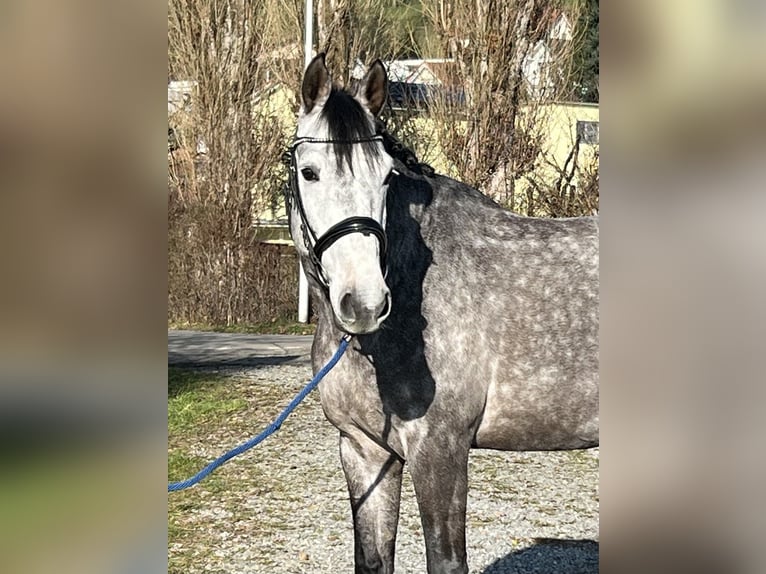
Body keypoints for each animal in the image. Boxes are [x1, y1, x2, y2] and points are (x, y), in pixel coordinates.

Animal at [282, 54, 600, 574]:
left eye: (385, 177)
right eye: (310, 172)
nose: (365, 302)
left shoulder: (439, 450)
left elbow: (446, 560)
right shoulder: (364, 451)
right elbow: (373, 559)